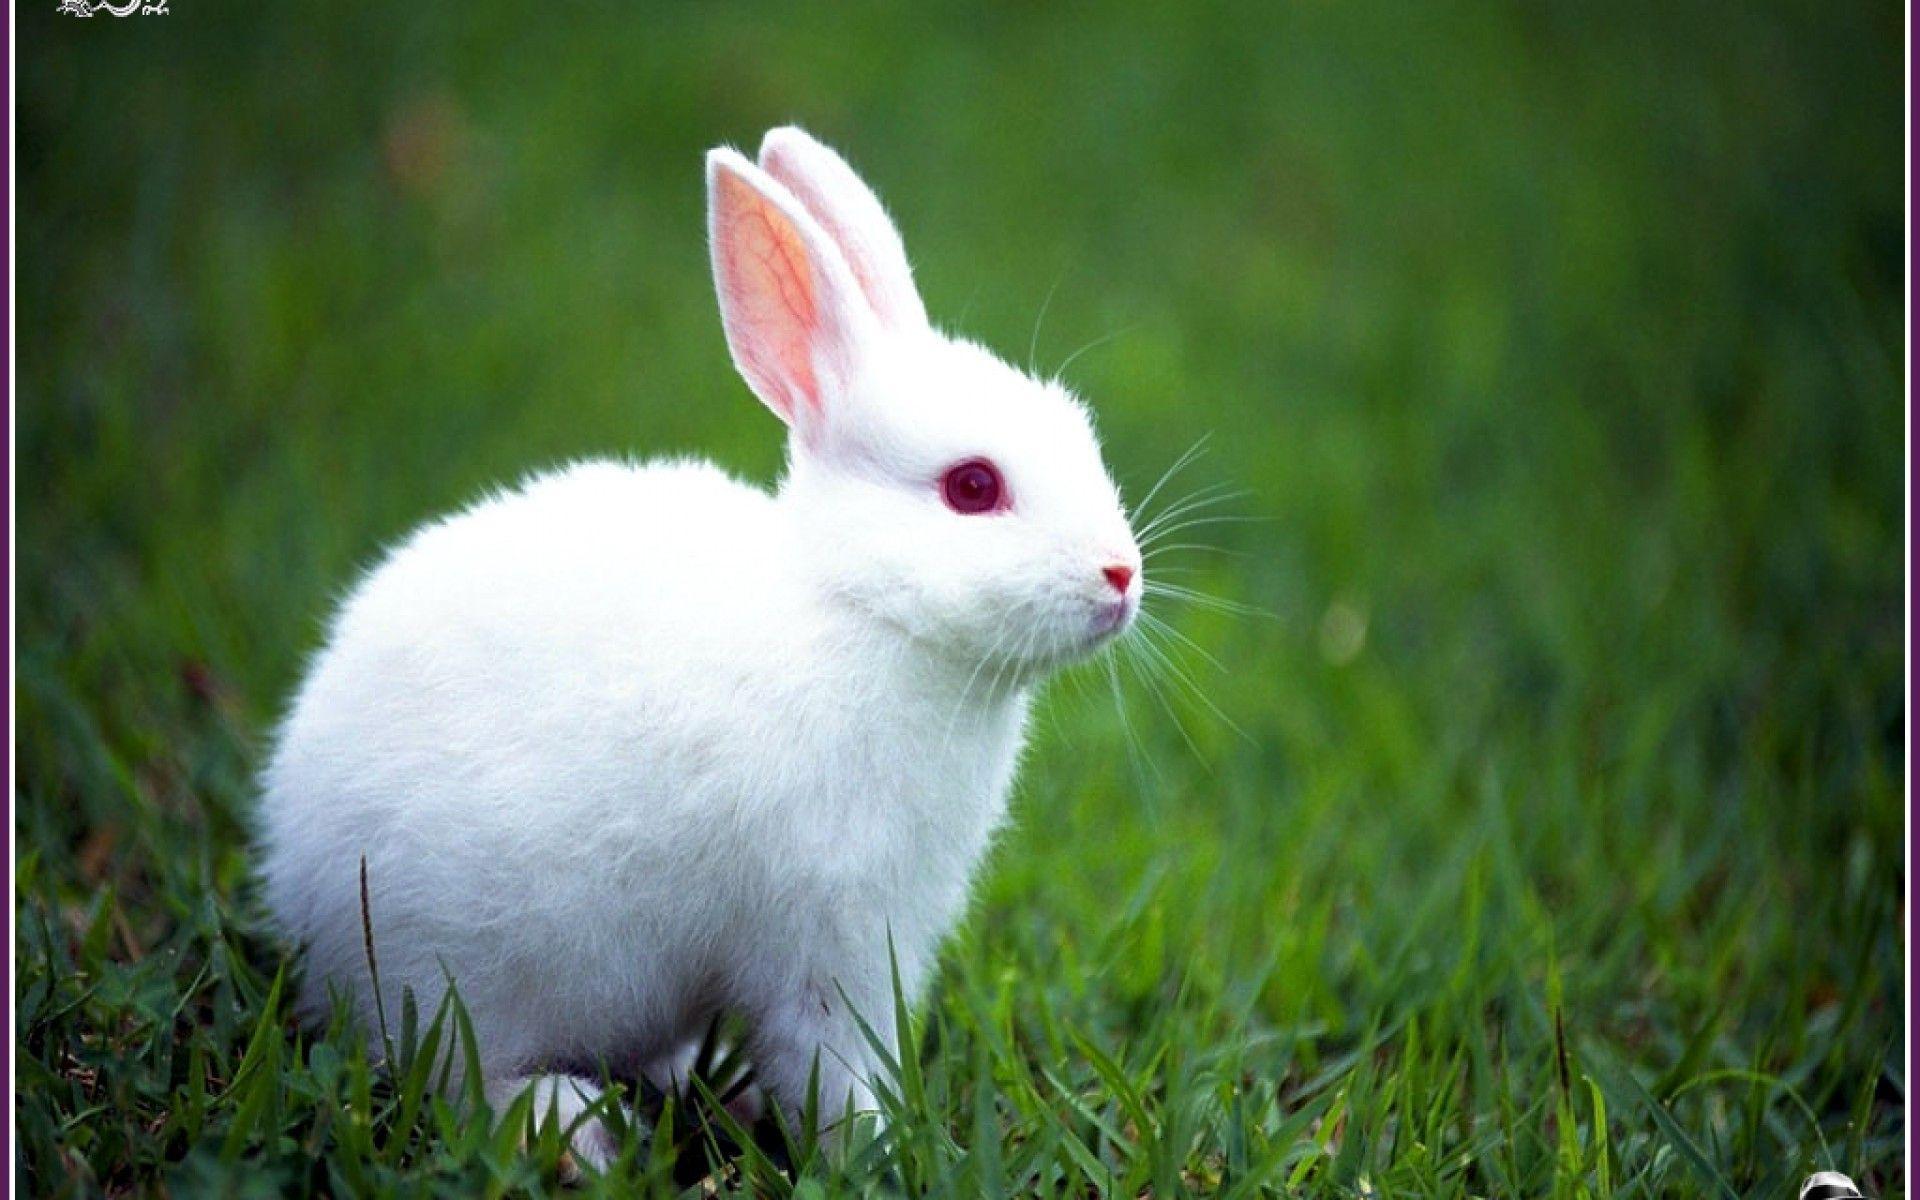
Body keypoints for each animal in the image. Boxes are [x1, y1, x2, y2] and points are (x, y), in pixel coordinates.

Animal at [256, 126, 1144, 1169]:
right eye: (973, 487)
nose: (1122, 575)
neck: (860, 611)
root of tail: (296, 875)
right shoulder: (828, 939)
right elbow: (831, 1064)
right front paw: (875, 1151)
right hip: (460, 966)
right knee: (457, 1075)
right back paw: (578, 1129)